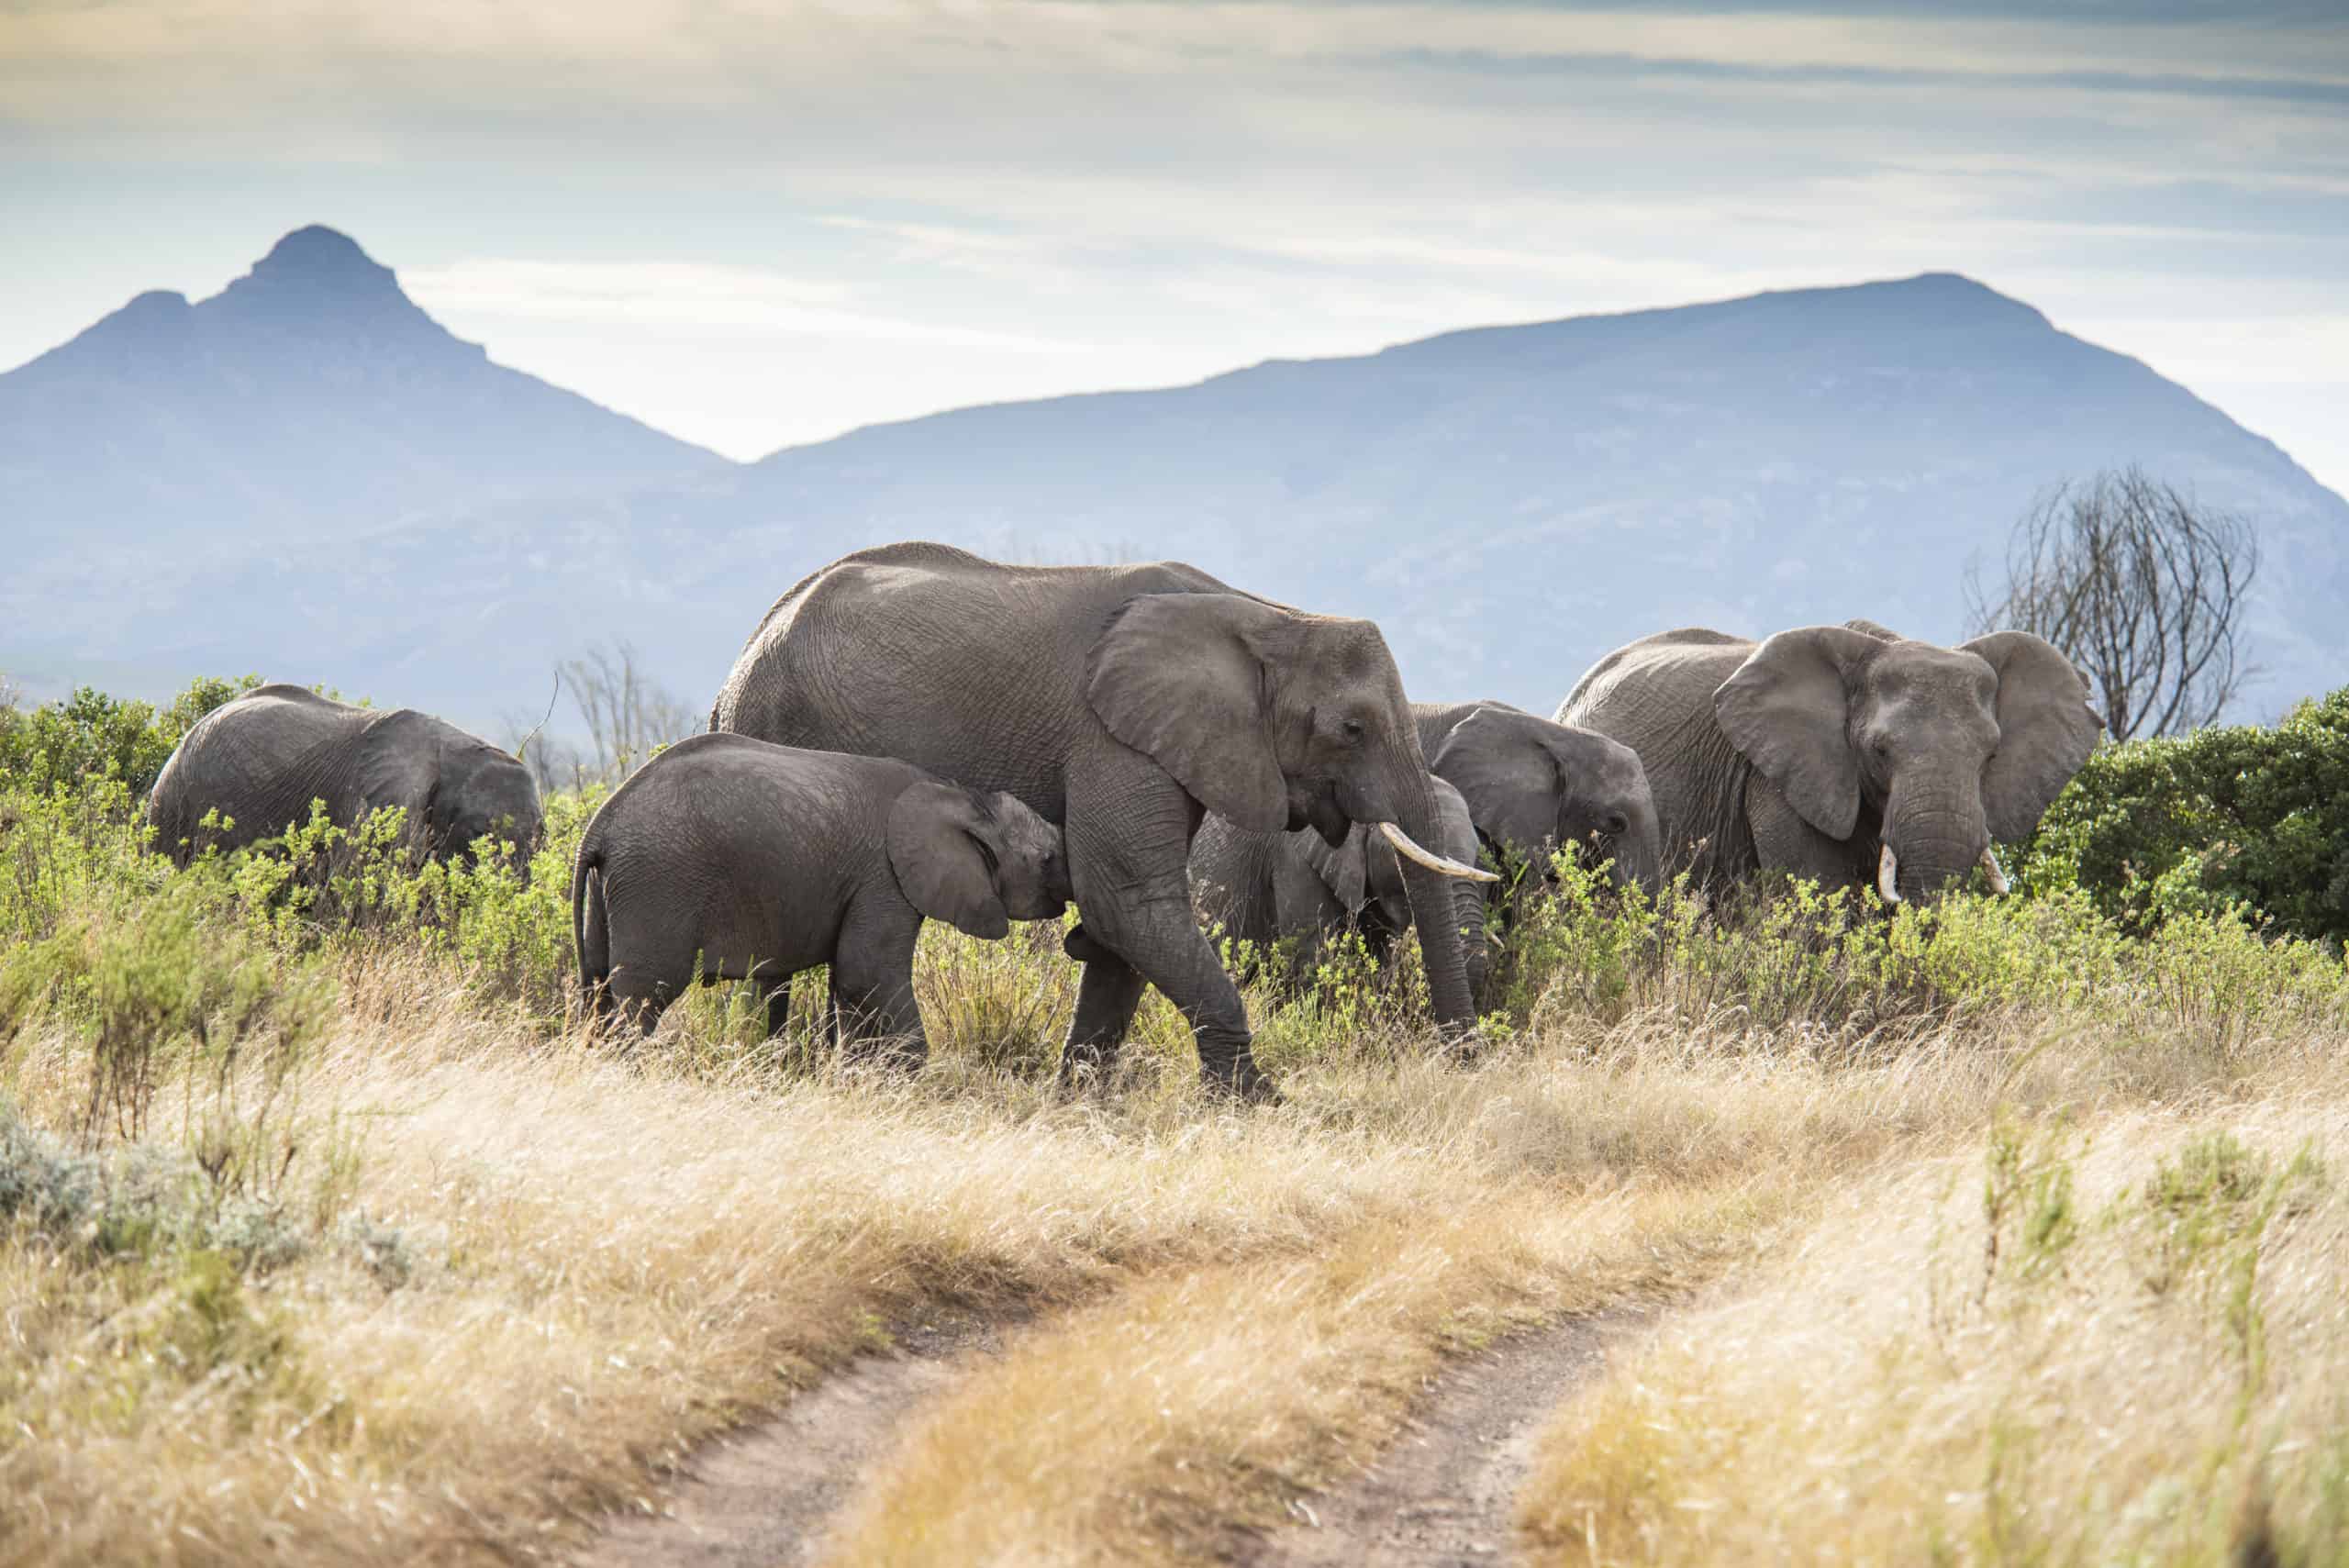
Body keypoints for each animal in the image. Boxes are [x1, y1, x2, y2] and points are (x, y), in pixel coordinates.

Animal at [573, 732, 1071, 1051]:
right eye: (1046, 857)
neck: (963, 796)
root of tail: (599, 825)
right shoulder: (882, 877)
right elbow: (867, 976)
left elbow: (852, 986)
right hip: (656, 884)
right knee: (642, 997)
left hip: (612, 891)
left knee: (599, 990)